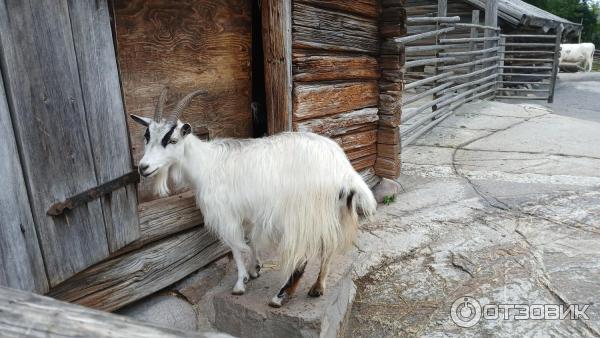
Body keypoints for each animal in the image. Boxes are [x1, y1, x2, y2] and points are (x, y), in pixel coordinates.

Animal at [131, 88, 376, 308]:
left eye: (172, 140)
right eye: (147, 136)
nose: (143, 168)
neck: (206, 164)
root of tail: (343, 171)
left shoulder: (225, 214)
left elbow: (236, 247)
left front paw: (240, 282)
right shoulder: (248, 212)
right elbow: (250, 240)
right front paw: (255, 269)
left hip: (302, 213)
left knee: (303, 253)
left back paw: (280, 296)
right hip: (332, 210)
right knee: (329, 246)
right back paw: (318, 287)